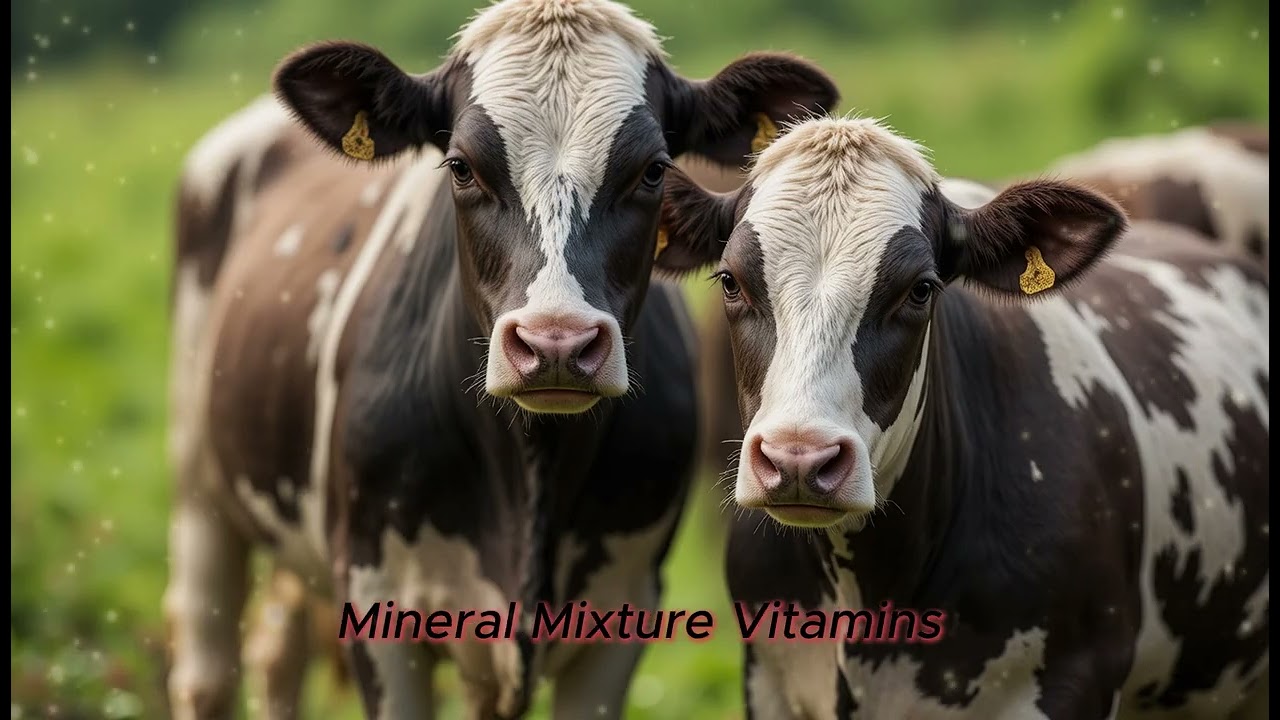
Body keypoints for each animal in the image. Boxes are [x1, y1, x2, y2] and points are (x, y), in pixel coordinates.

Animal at [163, 0, 839, 718]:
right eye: (462, 166)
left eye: (654, 169)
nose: (555, 343)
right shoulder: (375, 600)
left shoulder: (622, 611)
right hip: (197, 476)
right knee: (208, 668)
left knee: (277, 654)